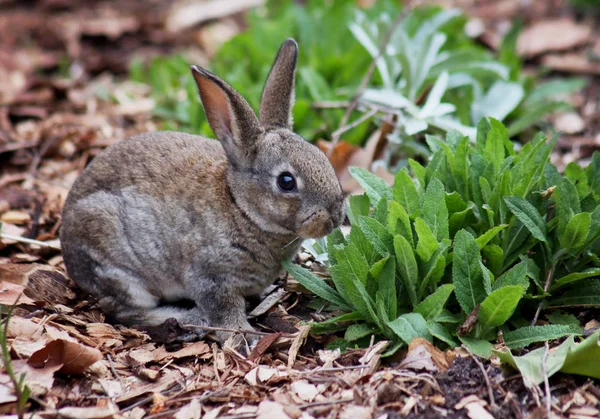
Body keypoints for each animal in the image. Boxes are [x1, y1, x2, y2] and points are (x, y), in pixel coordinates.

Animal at [59, 39, 346, 348]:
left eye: (321, 156)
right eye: (286, 181)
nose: (335, 217)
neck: (240, 207)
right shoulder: (211, 278)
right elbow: (224, 310)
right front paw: (243, 338)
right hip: (117, 263)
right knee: (123, 309)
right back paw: (188, 319)